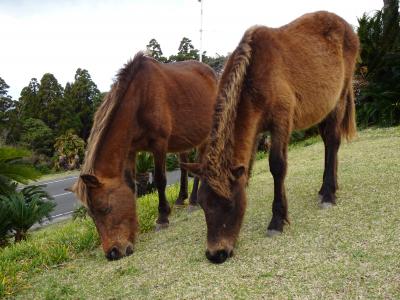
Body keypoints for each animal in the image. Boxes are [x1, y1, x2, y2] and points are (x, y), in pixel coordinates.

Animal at [70, 53, 217, 260]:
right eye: (91, 216)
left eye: (105, 208)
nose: (113, 253)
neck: (139, 98)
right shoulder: (131, 151)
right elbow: (132, 187)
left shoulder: (159, 144)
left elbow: (160, 180)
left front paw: (162, 218)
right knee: (185, 164)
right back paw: (182, 198)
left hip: (205, 134)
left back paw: (194, 200)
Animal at [182, 11, 360, 262]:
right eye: (204, 205)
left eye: (229, 205)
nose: (216, 254)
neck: (254, 73)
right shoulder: (256, 129)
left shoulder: (281, 121)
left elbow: (277, 165)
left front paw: (277, 220)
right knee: (327, 143)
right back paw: (328, 187)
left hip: (340, 98)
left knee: (333, 141)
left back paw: (328, 194)